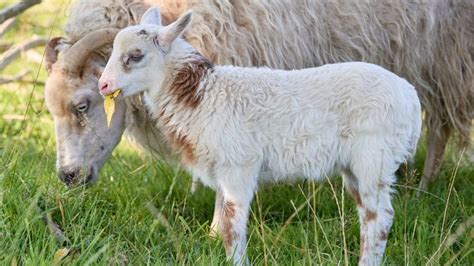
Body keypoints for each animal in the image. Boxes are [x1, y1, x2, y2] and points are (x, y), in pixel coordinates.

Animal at [98, 7, 420, 264]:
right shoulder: (222, 169)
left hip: (374, 156)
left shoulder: (239, 166)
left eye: (135, 56)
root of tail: (411, 99)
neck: (201, 95)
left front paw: (237, 261)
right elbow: (223, 223)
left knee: (379, 218)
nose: (103, 85)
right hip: (356, 165)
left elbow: (232, 226)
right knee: (368, 214)